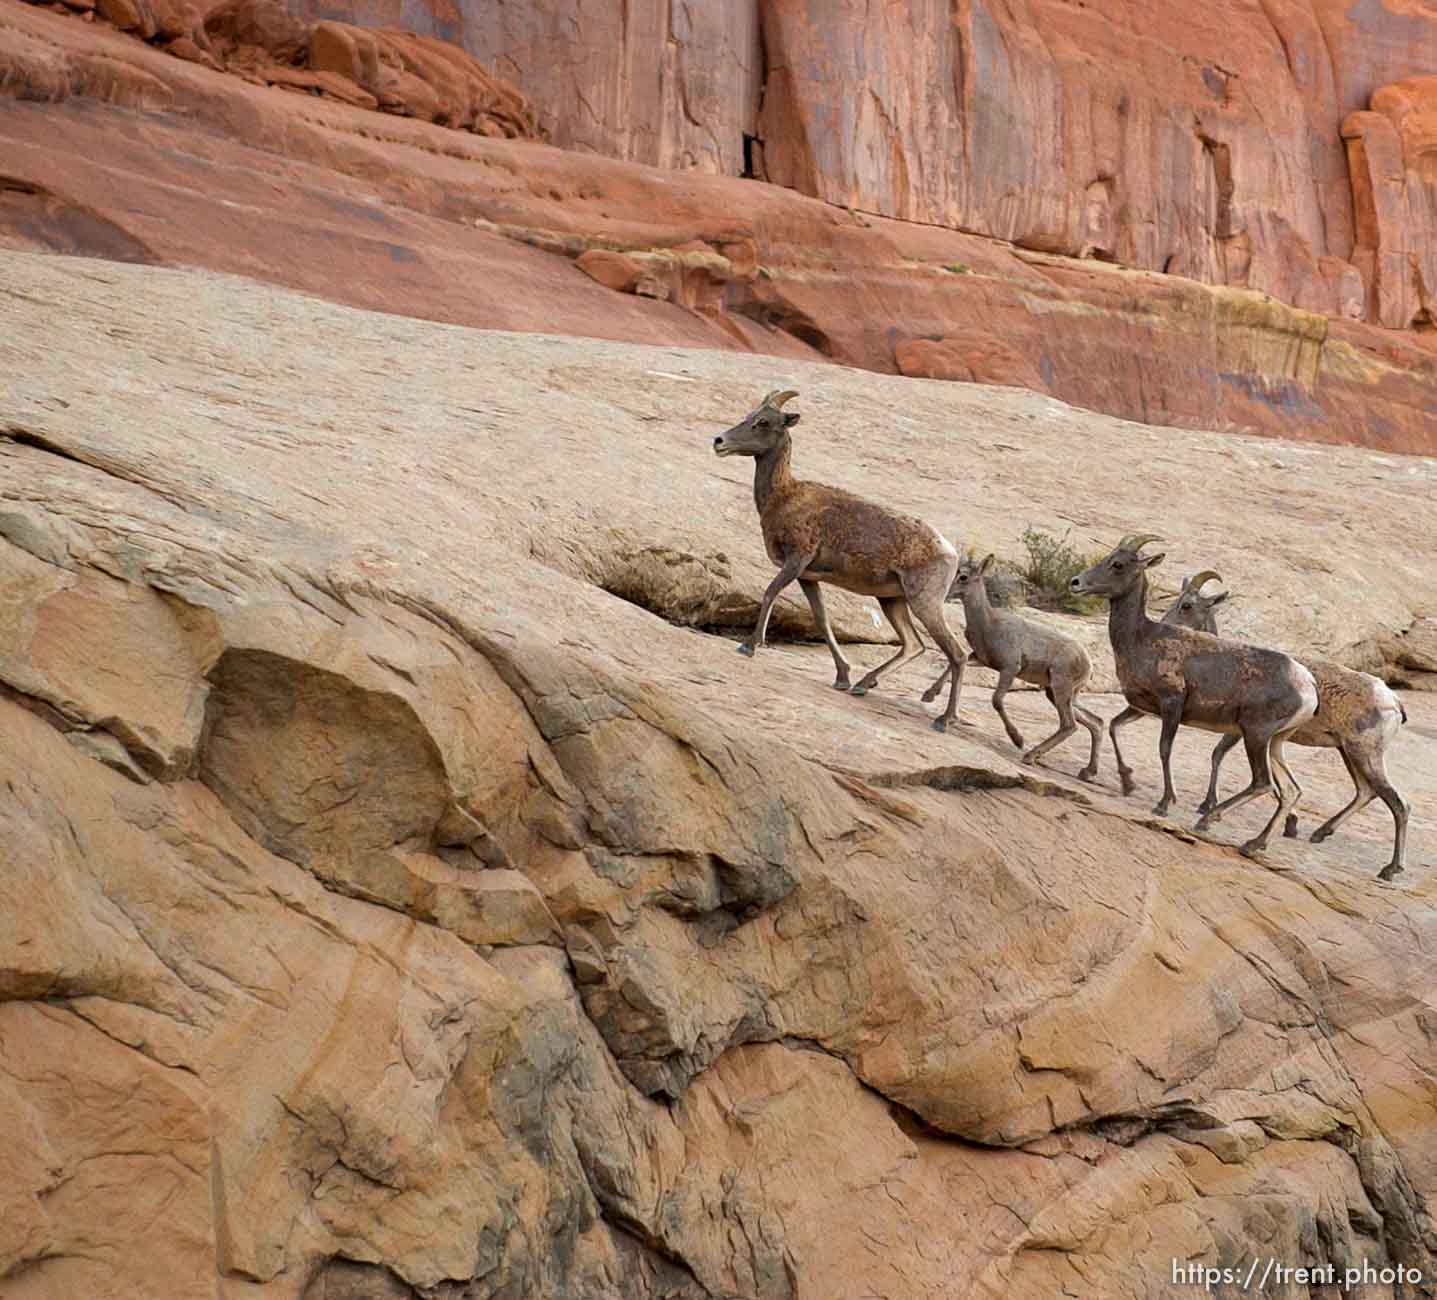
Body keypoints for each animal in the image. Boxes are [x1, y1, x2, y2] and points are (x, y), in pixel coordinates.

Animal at [712, 384, 971, 729]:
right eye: (749, 415)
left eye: (763, 422)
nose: (719, 441)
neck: (783, 496)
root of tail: (949, 551)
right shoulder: (808, 577)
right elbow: (822, 620)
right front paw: (842, 677)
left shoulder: (796, 561)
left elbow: (769, 594)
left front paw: (748, 646)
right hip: (892, 601)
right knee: (914, 645)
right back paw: (863, 685)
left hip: (924, 603)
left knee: (957, 653)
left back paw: (944, 719)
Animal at [919, 551, 1097, 775]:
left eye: (964, 577)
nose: (945, 592)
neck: (988, 624)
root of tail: (1088, 665)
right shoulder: (981, 659)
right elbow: (955, 664)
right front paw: (928, 696)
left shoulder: (1010, 668)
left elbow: (996, 700)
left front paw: (1017, 739)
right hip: (1057, 693)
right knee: (1095, 722)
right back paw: (1088, 772)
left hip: (1060, 688)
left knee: (1069, 725)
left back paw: (1029, 755)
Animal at [1069, 531, 1316, 856]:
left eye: (1118, 564)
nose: (1075, 583)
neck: (1141, 639)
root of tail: (1308, 687)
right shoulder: (1142, 707)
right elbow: (1113, 726)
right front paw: (1127, 783)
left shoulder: (1172, 704)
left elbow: (1164, 749)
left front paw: (1164, 803)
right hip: (1276, 742)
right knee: (1289, 790)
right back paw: (1254, 843)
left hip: (1255, 735)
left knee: (1263, 784)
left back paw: (1209, 820)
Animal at [1161, 571, 1408, 884]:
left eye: (1187, 605)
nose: (1165, 625)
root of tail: (1392, 701)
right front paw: (1288, 825)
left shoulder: (1243, 732)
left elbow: (1219, 755)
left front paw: (1209, 807)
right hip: (1349, 753)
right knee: (1366, 792)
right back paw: (1320, 834)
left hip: (1364, 753)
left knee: (1397, 803)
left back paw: (1389, 869)